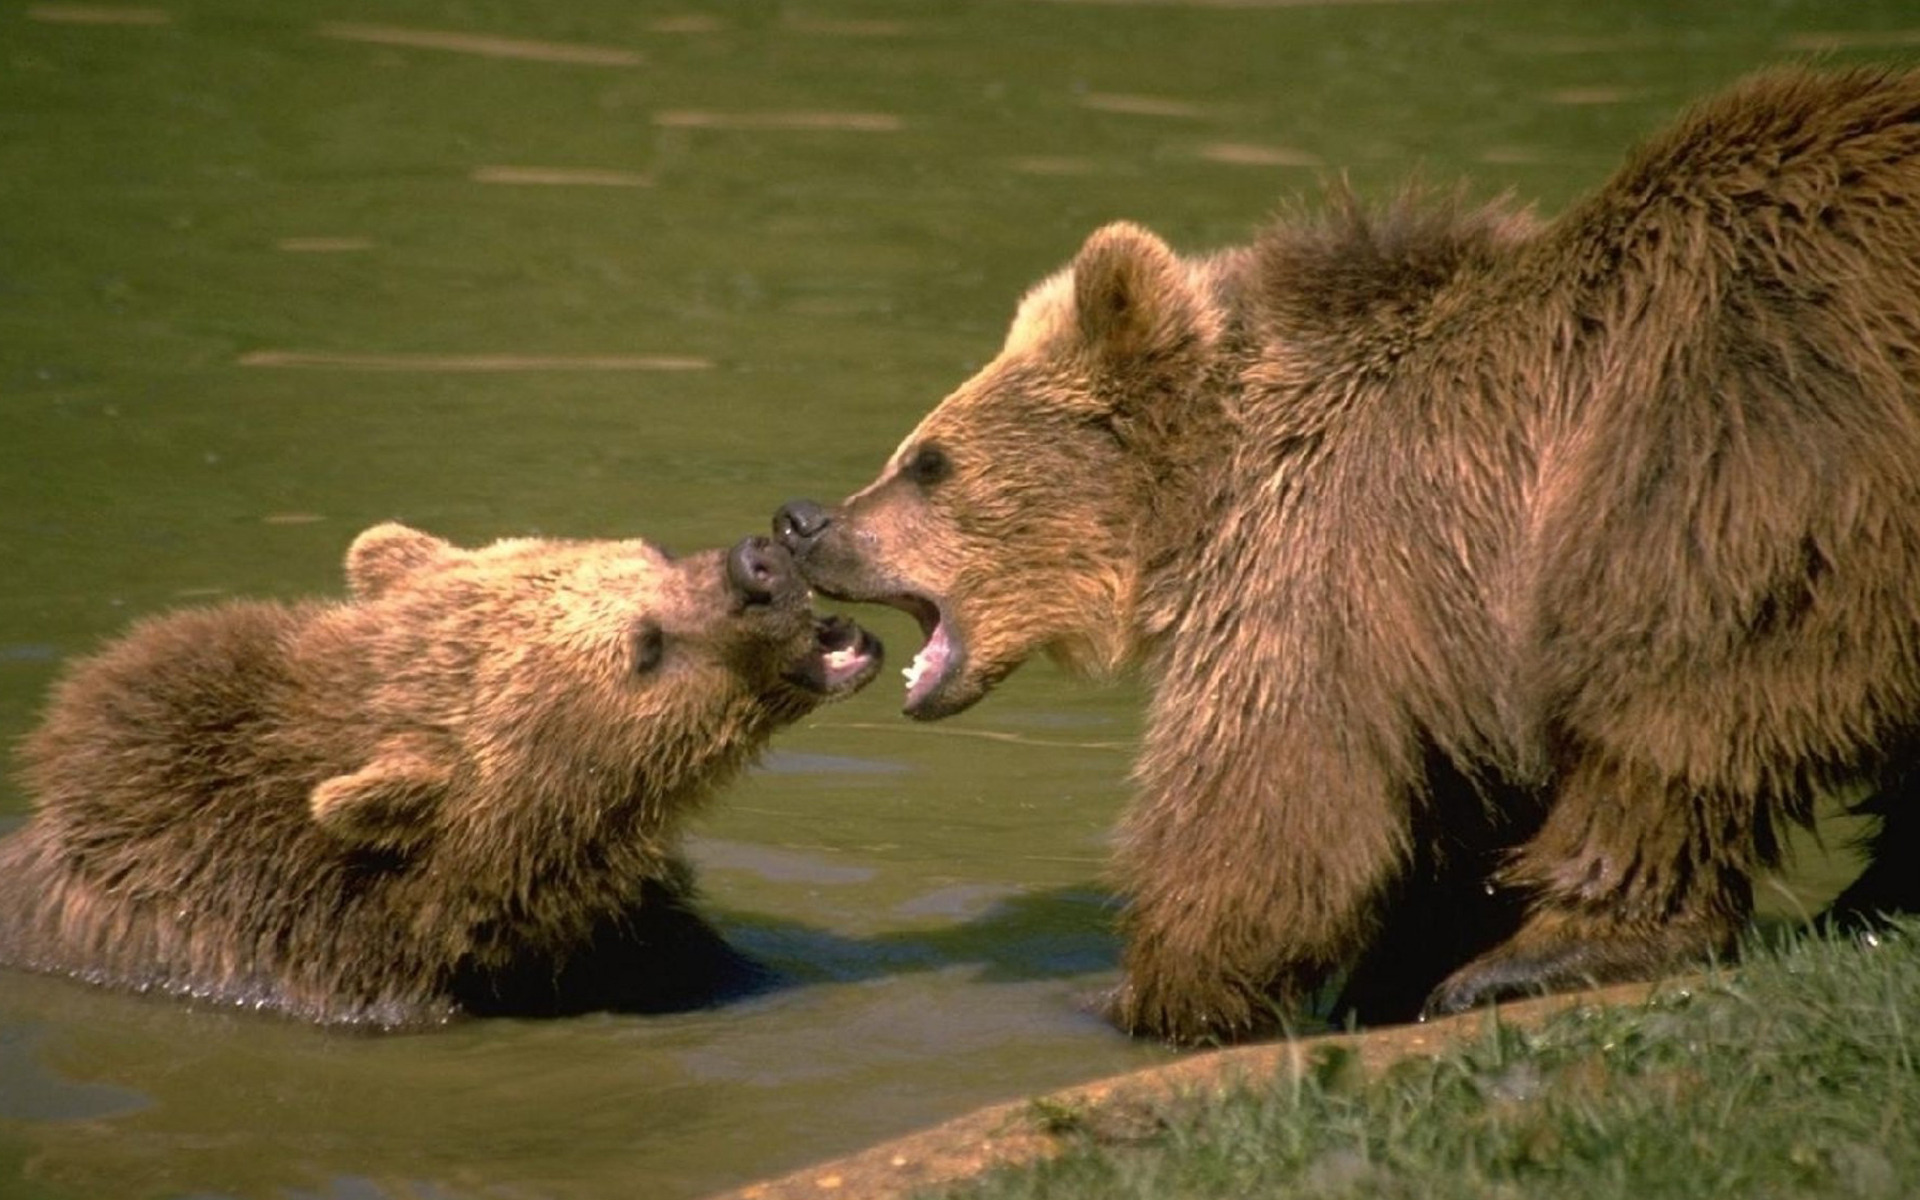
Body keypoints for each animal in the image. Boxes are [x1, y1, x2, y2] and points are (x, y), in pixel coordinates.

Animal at [775, 65, 1920, 1036]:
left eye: (929, 461)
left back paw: (1552, 953)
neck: (1201, 496)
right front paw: (1386, 971)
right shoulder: (1429, 617)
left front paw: (1148, 990)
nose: (803, 520)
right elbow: (1440, 813)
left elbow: (1273, 802)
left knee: (1682, 695)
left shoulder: (1322, 552)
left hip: (1743, 432)